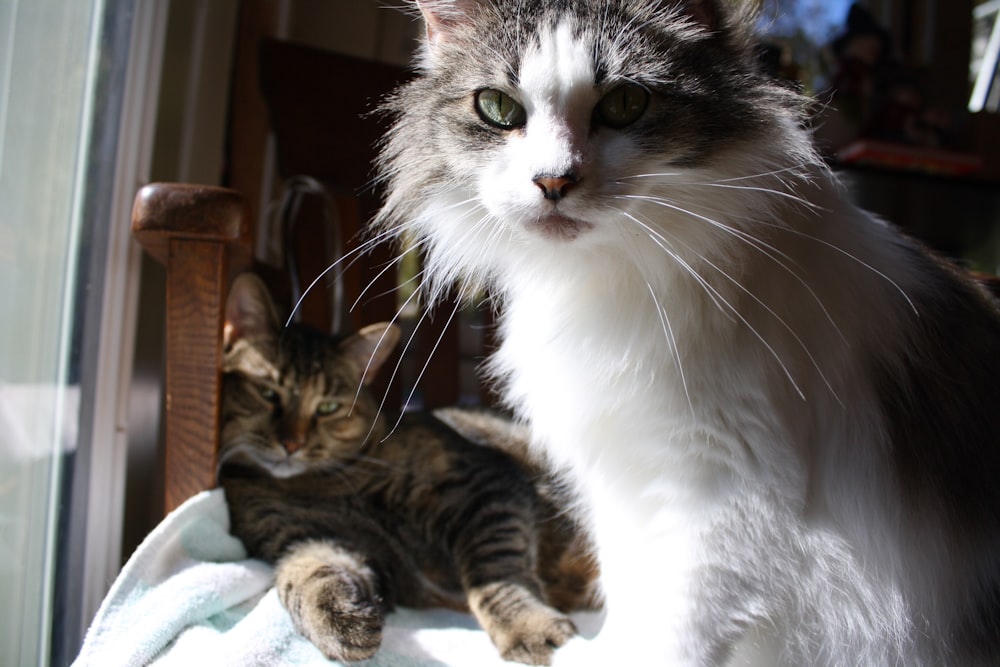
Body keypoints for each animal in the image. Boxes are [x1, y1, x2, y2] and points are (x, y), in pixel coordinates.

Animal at [219, 274, 592, 664]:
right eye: (266, 392)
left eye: (327, 407)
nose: (292, 444)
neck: (317, 485)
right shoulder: (302, 537)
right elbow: (308, 576)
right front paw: (337, 620)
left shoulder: (483, 487)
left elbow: (495, 573)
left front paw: (529, 628)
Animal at [374, 1, 1000, 667]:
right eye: (497, 107)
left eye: (626, 103)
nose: (553, 181)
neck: (613, 279)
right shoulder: (618, 481)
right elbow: (628, 597)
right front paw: (597, 651)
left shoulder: (727, 491)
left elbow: (674, 632)